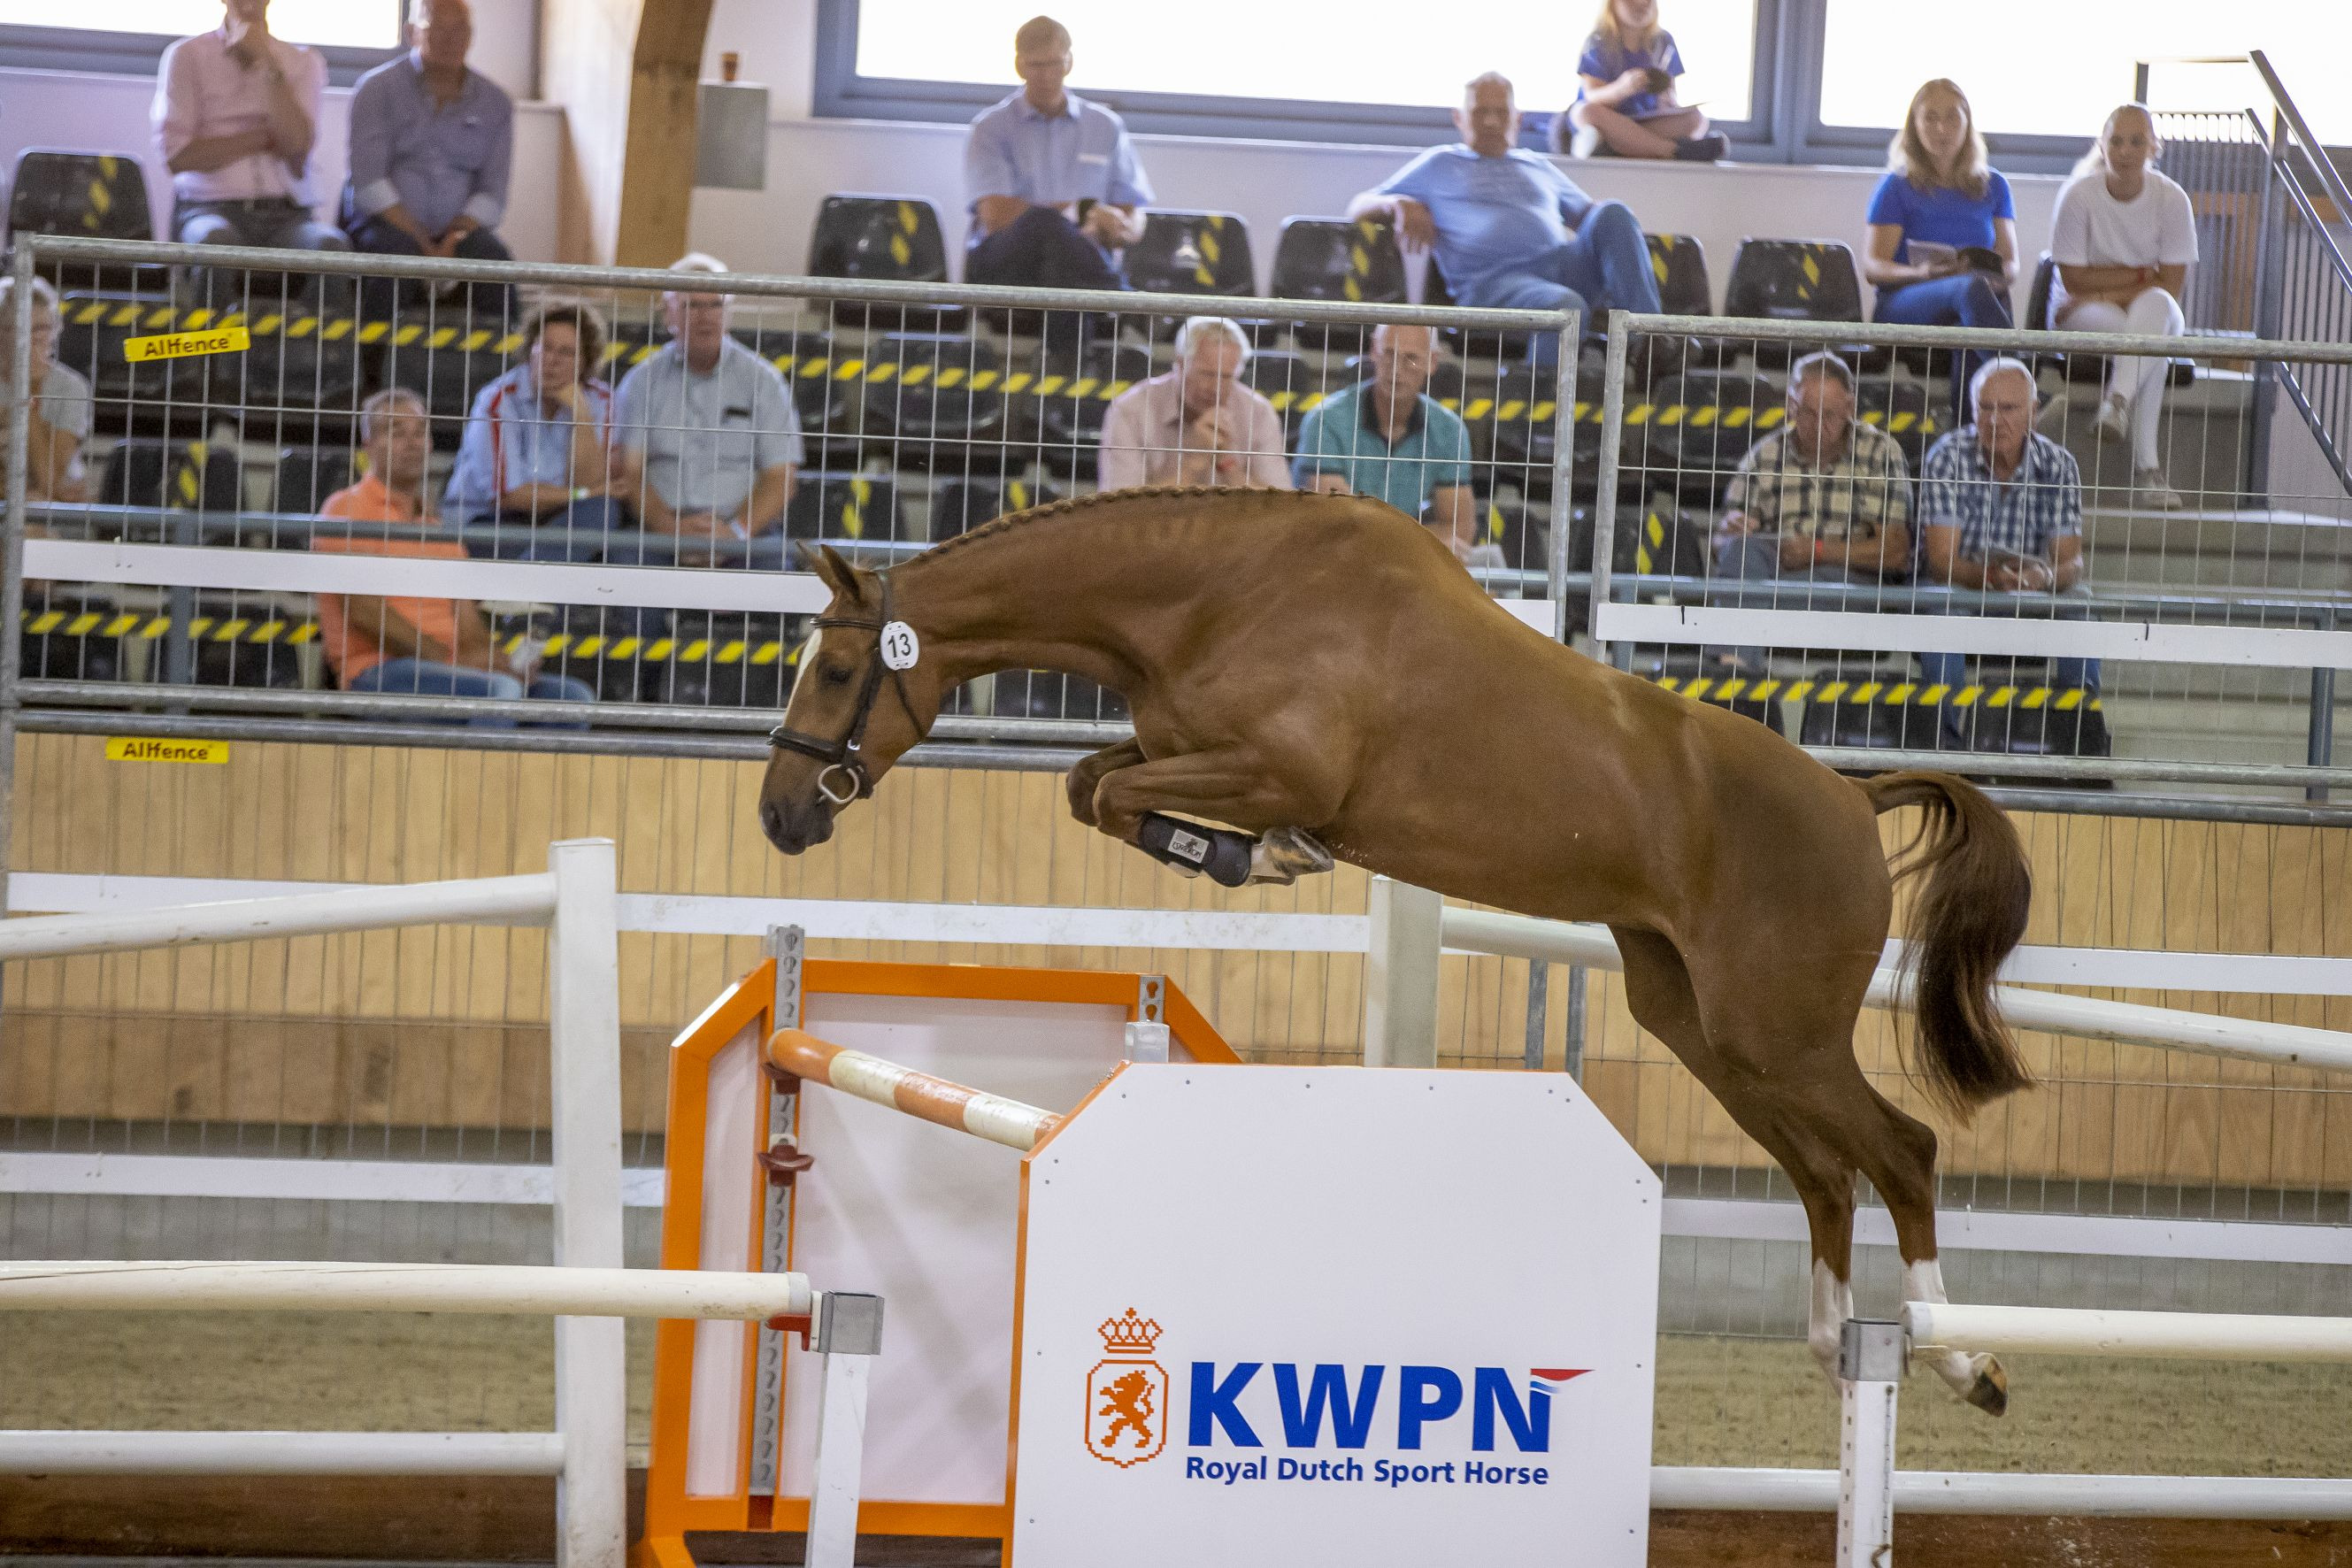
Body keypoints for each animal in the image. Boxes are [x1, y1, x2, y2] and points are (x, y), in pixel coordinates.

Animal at [757, 486, 2033, 1415]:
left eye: (837, 671)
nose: (779, 815)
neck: (1214, 597)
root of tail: (1852, 797)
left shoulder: (1267, 766)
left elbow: (1115, 792)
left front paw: (1262, 855)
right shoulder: (1182, 750)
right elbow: (1092, 788)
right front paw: (1249, 855)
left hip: (1781, 1029)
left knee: (1901, 1150)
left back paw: (1961, 1359)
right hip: (1705, 1027)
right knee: (1822, 1170)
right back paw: (1834, 1342)